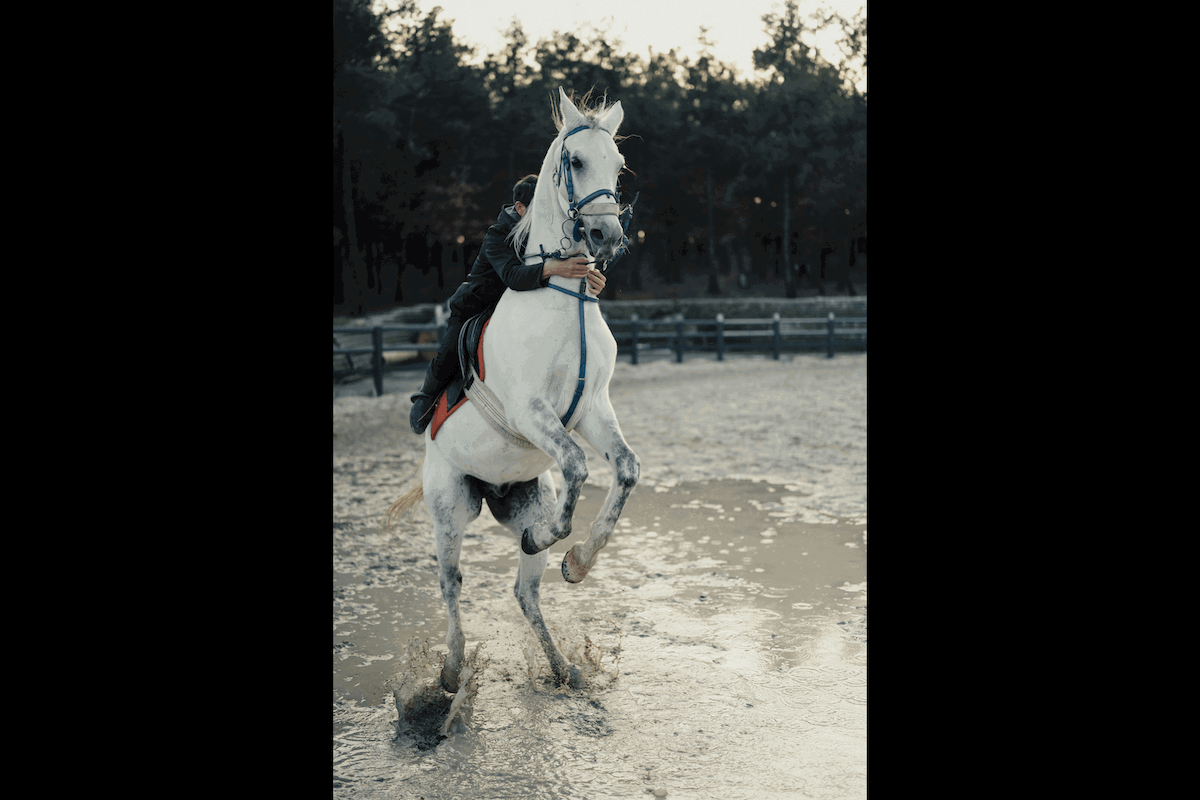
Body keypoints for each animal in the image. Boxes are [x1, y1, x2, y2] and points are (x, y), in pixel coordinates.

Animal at [391, 86, 638, 690]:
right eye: (576, 161)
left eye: (618, 165)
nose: (608, 236)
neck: (566, 297)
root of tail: (490, 489)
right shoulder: (530, 411)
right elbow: (577, 465)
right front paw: (558, 539)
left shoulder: (593, 409)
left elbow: (624, 469)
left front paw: (578, 561)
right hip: (449, 510)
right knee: (452, 585)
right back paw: (450, 676)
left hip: (524, 499)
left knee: (524, 592)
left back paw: (562, 667)